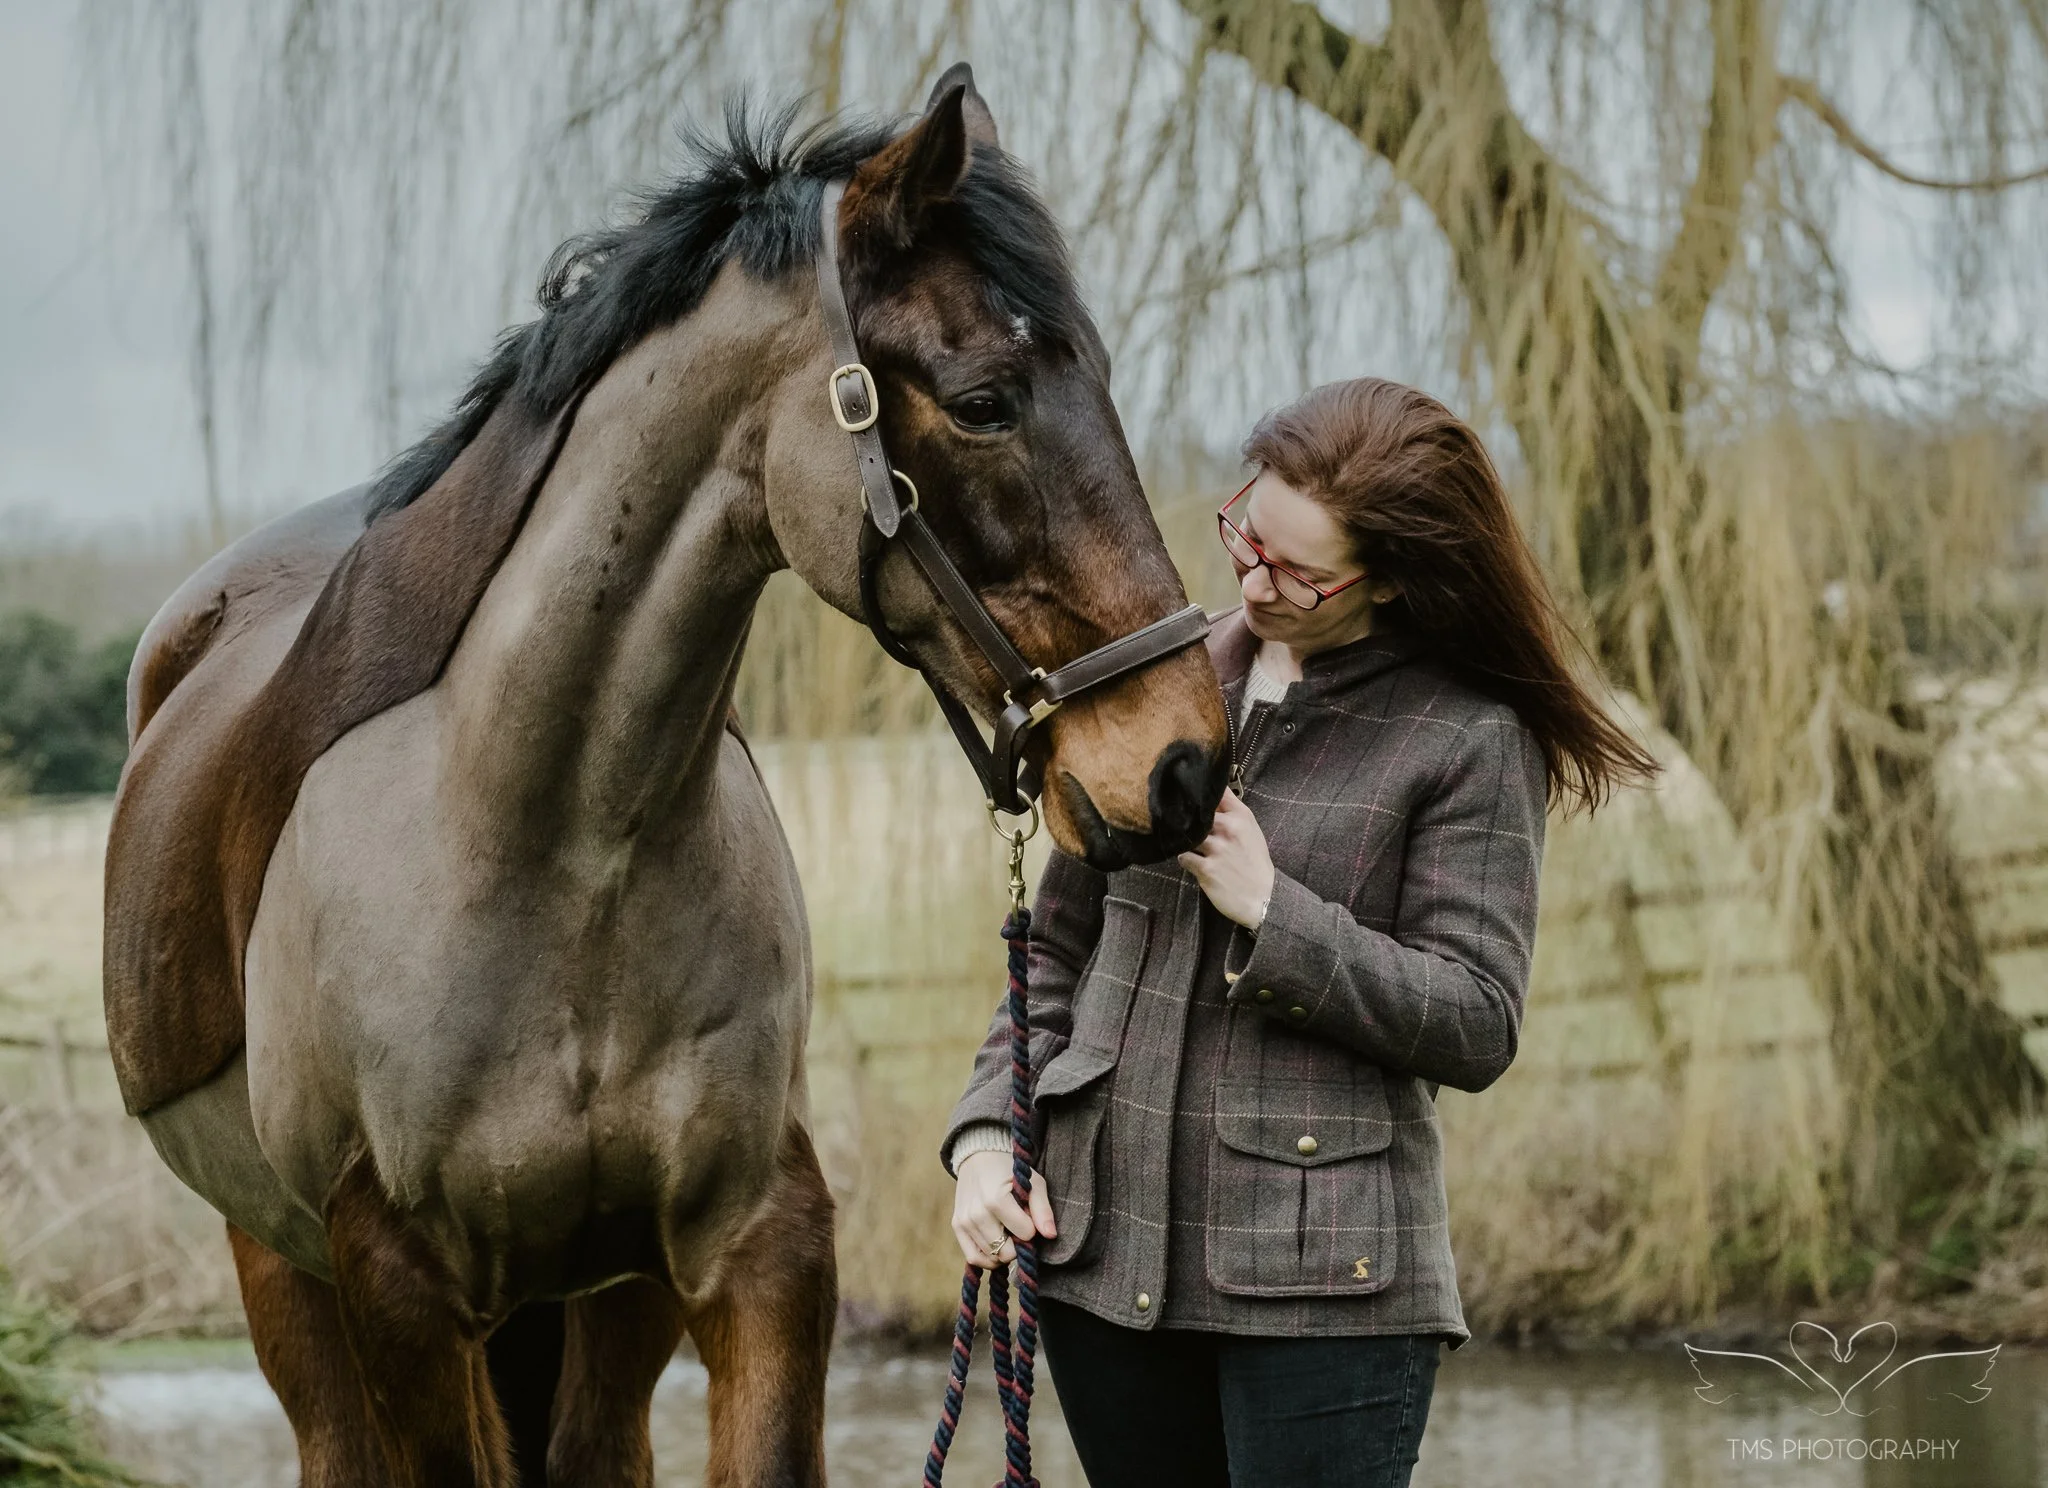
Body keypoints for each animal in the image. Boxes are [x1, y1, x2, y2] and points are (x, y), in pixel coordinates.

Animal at [102, 67, 1227, 1488]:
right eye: (984, 402)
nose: (1183, 761)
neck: (554, 845)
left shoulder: (755, 1244)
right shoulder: (395, 1285)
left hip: (596, 1308)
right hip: (283, 1274)